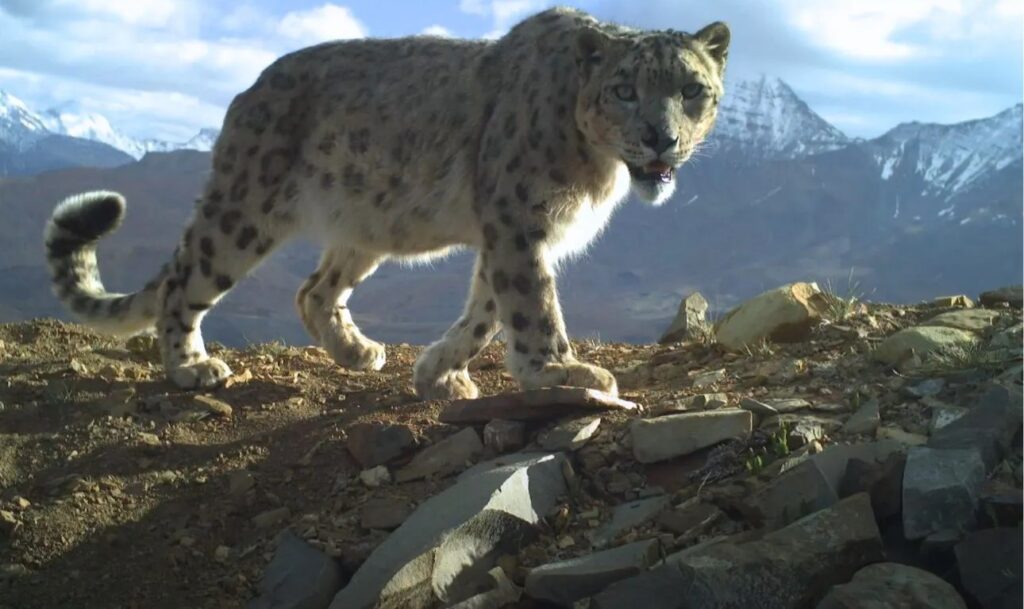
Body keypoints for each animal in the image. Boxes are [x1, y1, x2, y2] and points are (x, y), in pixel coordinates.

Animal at [43, 7, 730, 399]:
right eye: (623, 89)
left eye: (692, 90)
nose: (661, 138)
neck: (598, 167)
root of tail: (246, 94)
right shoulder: (519, 220)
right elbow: (532, 304)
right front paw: (562, 371)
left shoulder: (511, 232)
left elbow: (485, 310)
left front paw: (439, 373)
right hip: (244, 210)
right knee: (185, 280)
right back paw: (191, 366)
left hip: (366, 225)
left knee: (314, 289)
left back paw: (358, 351)